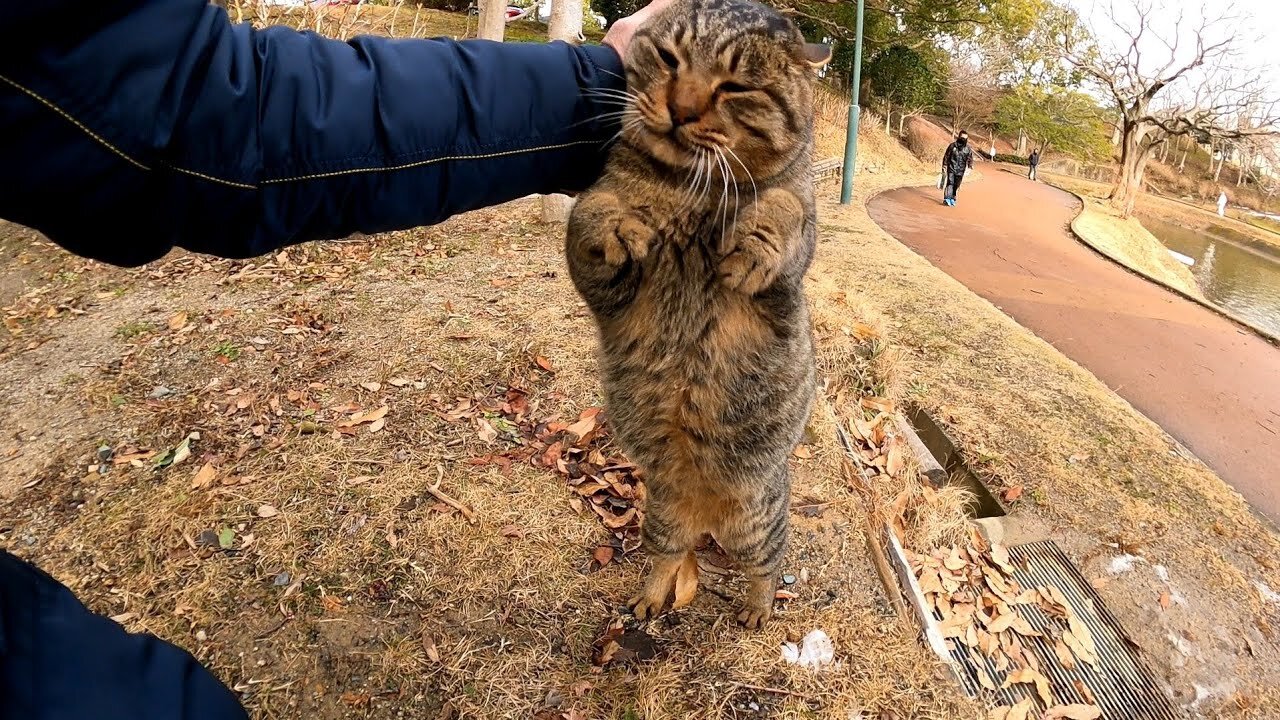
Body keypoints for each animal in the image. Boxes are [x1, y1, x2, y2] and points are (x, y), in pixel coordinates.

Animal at [563, 0, 824, 625]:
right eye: (668, 58)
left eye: (736, 86)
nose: (681, 110)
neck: (689, 187)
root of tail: (703, 516)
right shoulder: (604, 283)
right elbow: (590, 210)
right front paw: (617, 224)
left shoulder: (786, 279)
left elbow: (787, 206)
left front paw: (756, 239)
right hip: (660, 517)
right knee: (666, 556)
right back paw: (651, 595)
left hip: (756, 524)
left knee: (767, 566)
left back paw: (757, 607)